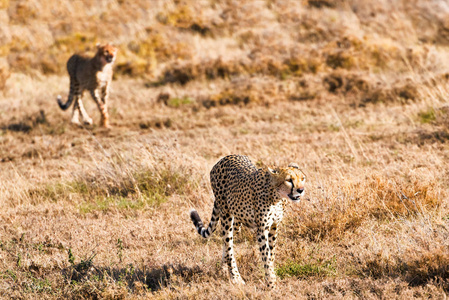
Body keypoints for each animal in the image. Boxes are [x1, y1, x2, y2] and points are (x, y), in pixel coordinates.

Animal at [187, 155, 306, 288]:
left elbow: (272, 254)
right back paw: (235, 277)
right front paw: (271, 283)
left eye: (302, 178)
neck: (277, 197)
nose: (301, 190)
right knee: (229, 246)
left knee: (226, 244)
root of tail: (224, 158)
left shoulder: (274, 226)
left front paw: (273, 276)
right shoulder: (262, 229)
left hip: (236, 222)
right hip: (226, 215)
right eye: (289, 180)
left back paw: (223, 269)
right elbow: (266, 255)